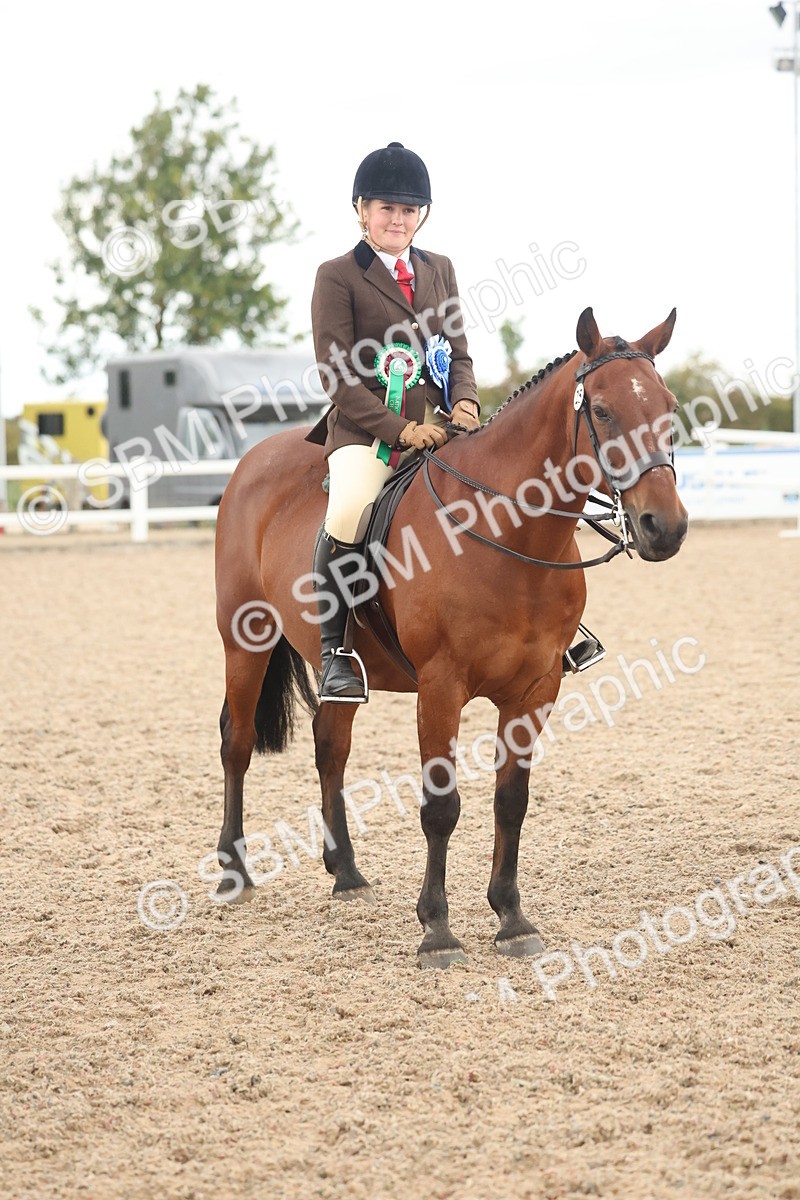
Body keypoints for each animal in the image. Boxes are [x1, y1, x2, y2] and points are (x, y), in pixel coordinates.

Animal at [213, 307, 688, 968]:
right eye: (601, 411)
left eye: (668, 406)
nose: (663, 528)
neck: (509, 535)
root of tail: (252, 461)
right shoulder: (441, 688)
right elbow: (441, 807)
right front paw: (437, 930)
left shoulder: (536, 689)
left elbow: (511, 801)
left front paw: (511, 919)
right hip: (244, 639)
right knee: (236, 743)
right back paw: (235, 873)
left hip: (342, 666)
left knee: (330, 747)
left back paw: (347, 874)